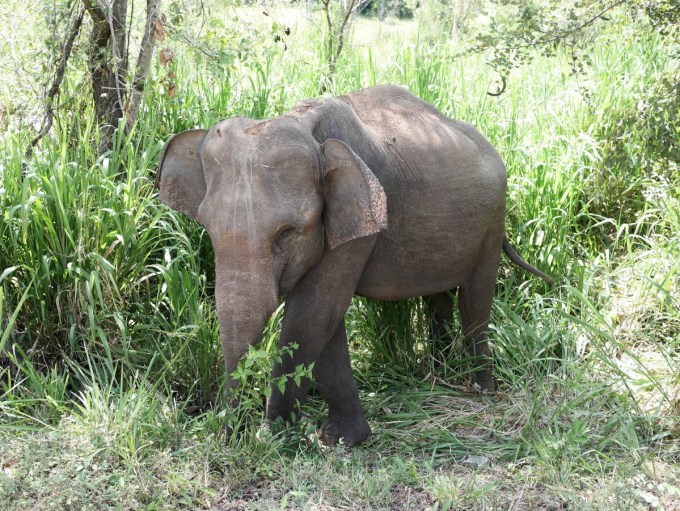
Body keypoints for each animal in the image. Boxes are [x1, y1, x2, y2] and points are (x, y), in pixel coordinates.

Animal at [157, 85, 556, 448]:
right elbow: (325, 320)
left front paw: (281, 440)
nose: (232, 436)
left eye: (287, 233)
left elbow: (314, 311)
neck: (302, 123)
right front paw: (338, 438)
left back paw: (480, 388)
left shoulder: (359, 217)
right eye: (208, 228)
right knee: (438, 297)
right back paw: (438, 372)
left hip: (493, 219)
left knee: (475, 299)